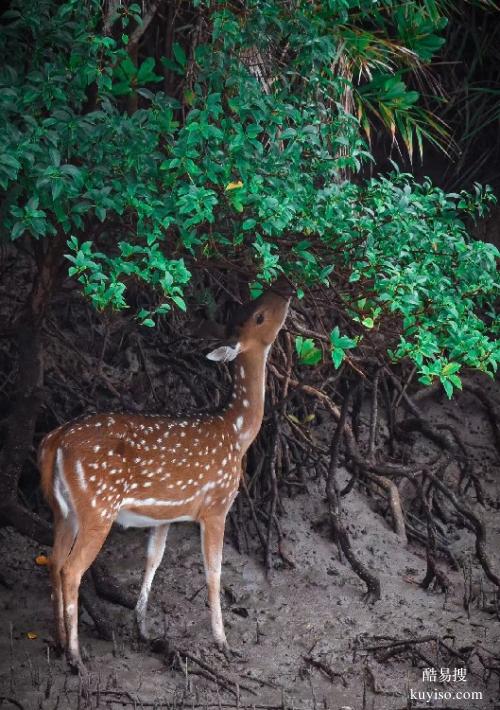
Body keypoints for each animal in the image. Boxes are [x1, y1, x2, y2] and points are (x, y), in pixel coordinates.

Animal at [39, 278, 292, 672]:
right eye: (260, 316)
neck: (237, 434)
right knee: (71, 569)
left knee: (52, 561)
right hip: (98, 506)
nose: (285, 292)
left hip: (63, 510)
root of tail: (54, 442)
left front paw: (143, 627)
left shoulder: (166, 514)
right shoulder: (217, 504)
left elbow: (153, 560)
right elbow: (214, 571)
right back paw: (77, 657)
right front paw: (223, 642)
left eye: (251, 304)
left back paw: (60, 640)